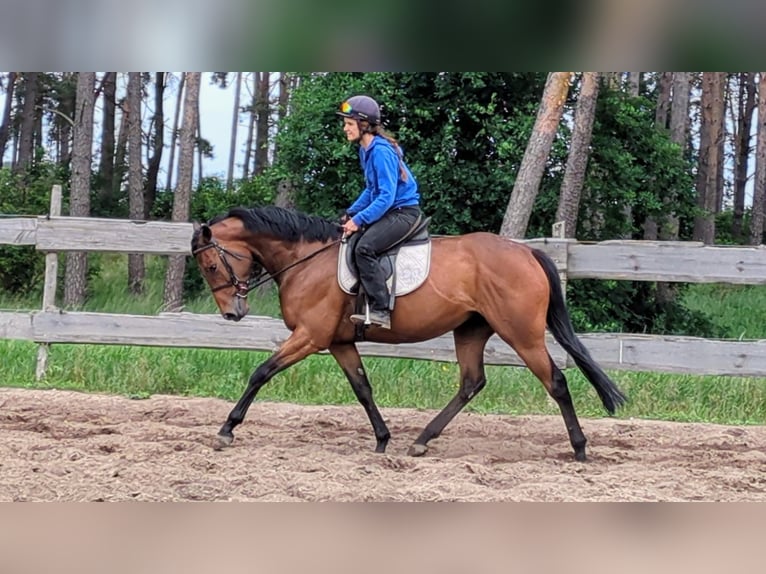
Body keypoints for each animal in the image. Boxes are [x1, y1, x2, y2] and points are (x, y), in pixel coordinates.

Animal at [190, 207, 624, 464]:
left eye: (210, 265)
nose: (232, 313)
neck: (306, 260)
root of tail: (526, 252)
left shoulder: (310, 336)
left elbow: (261, 373)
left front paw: (227, 430)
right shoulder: (338, 342)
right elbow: (363, 389)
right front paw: (382, 439)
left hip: (522, 334)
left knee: (556, 381)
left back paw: (579, 448)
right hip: (471, 330)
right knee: (471, 383)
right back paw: (422, 439)